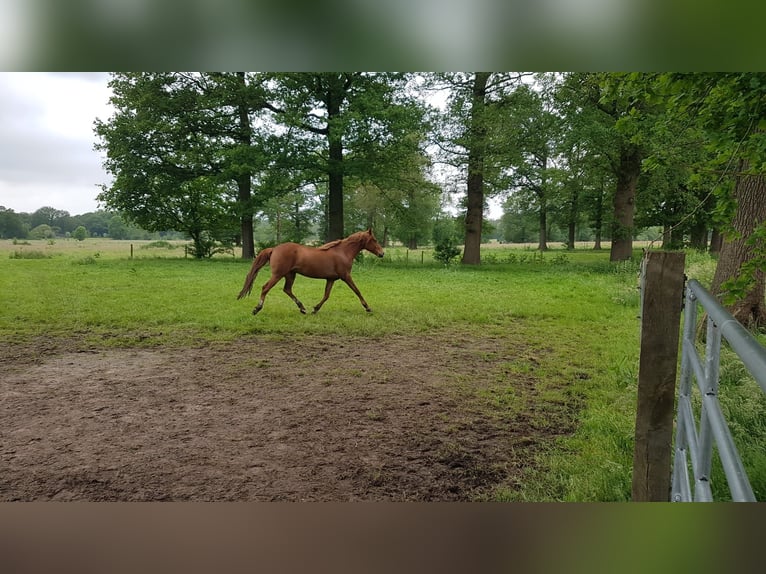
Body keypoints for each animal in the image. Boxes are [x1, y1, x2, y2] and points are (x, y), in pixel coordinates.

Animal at [238, 230, 384, 318]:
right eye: (374, 239)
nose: (382, 253)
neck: (343, 252)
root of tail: (274, 249)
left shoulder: (331, 279)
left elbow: (326, 296)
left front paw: (315, 309)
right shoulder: (346, 276)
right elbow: (357, 291)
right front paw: (368, 308)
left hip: (290, 275)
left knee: (287, 289)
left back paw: (302, 308)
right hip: (278, 275)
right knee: (265, 288)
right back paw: (257, 308)